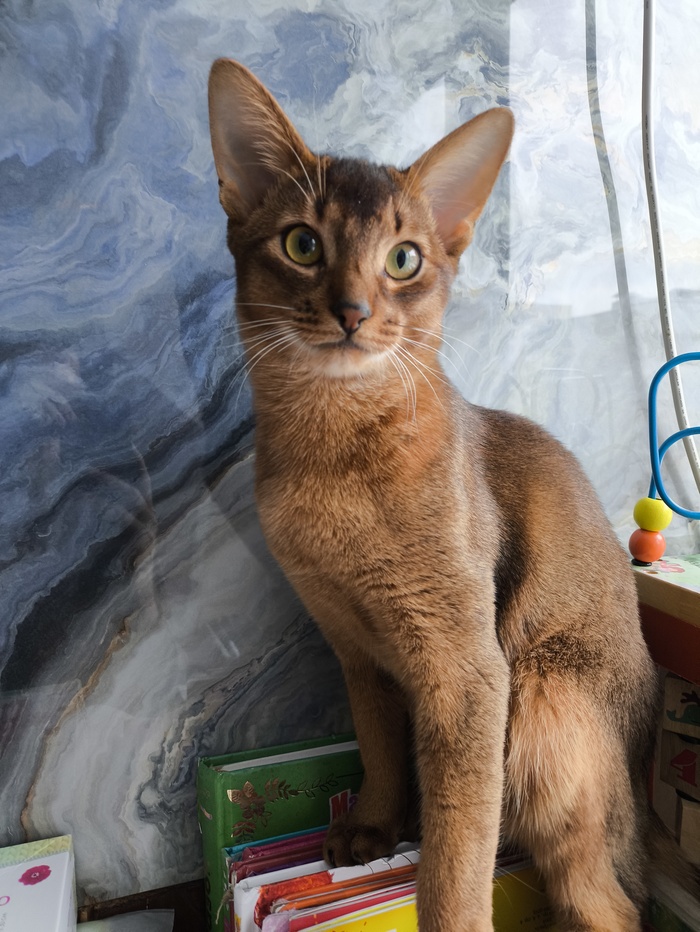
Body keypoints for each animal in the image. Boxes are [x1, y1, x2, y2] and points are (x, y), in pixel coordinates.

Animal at [208, 58, 661, 931]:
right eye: (302, 243)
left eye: (404, 259)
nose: (352, 312)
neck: (331, 460)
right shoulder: (356, 651)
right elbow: (380, 747)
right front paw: (376, 826)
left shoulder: (467, 671)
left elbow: (456, 854)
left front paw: (445, 902)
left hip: (544, 705)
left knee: (611, 905)